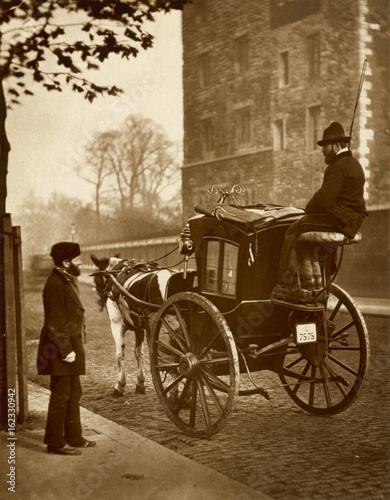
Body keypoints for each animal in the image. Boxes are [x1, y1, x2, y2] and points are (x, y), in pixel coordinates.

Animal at [90, 254, 177, 398]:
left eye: (97, 279)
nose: (99, 300)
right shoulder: (139, 327)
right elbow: (138, 353)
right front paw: (140, 383)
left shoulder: (117, 324)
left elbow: (120, 354)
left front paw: (120, 385)